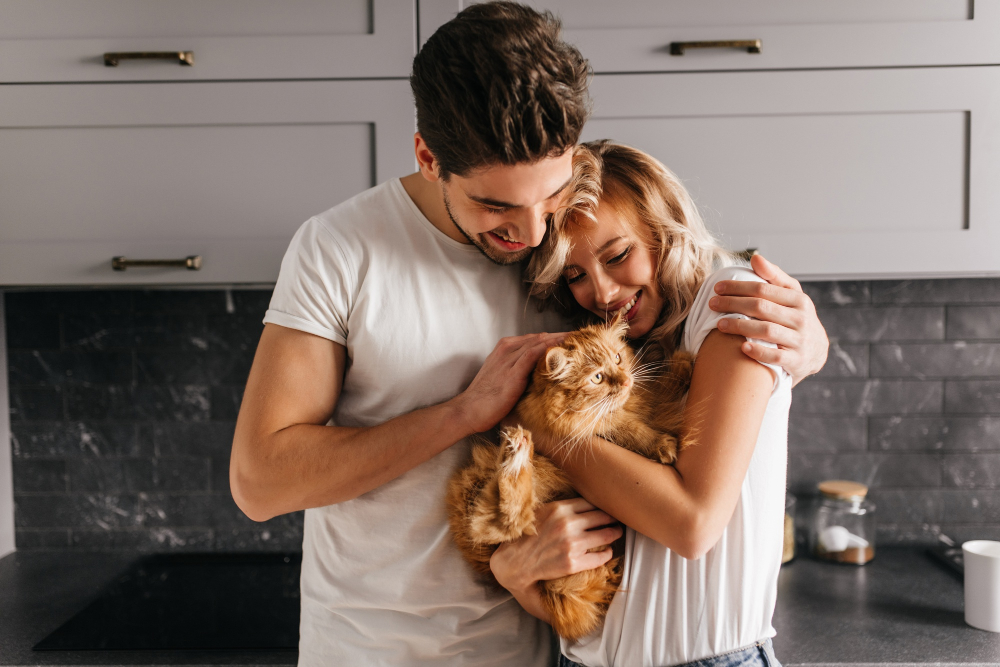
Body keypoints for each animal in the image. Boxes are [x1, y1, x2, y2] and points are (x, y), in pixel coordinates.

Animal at [448, 318, 692, 640]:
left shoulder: (646, 402)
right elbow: (635, 431)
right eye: (597, 378)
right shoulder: (602, 428)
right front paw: (664, 445)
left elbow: (660, 393)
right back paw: (517, 452)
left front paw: (683, 365)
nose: (625, 381)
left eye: (618, 358)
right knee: (503, 521)